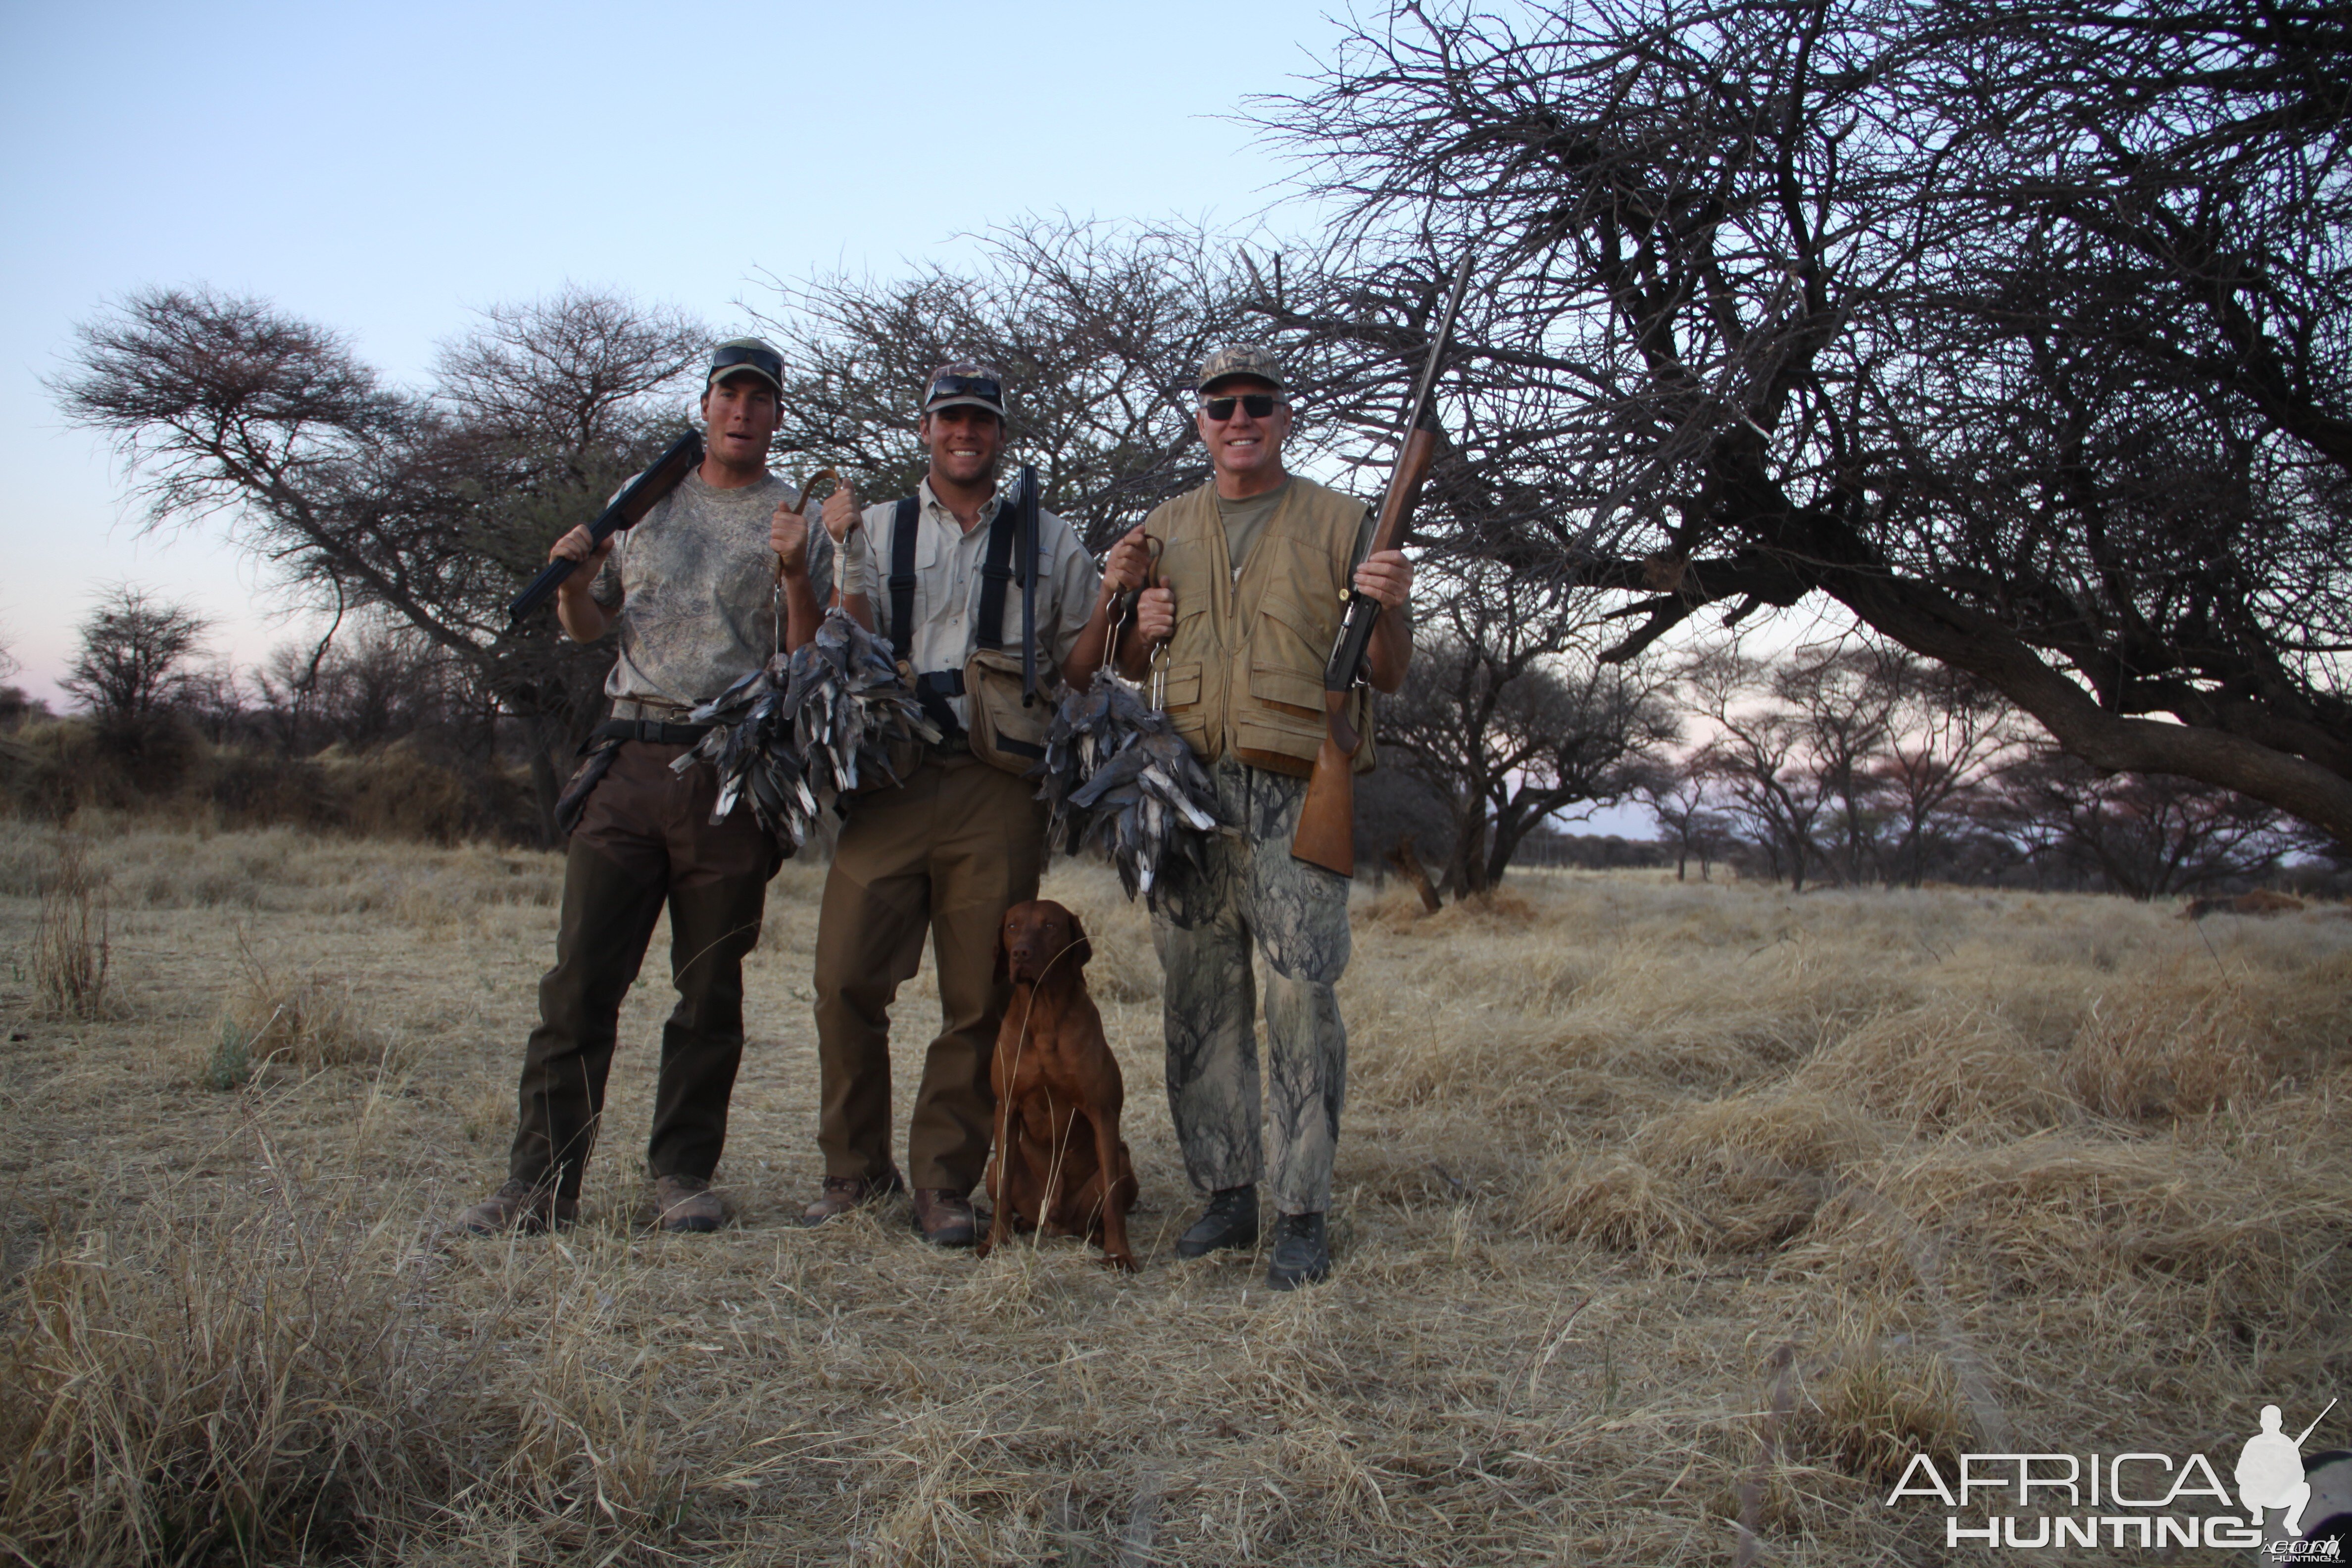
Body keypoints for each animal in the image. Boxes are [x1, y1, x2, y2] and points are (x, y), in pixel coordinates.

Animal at [974, 902, 1138, 1269]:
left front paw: (1120, 1253)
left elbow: (1112, 1199)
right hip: (997, 1170)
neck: (1043, 1013)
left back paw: (1100, 1235)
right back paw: (1023, 1223)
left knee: (1103, 1205)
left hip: (1124, 1162)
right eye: (1012, 926)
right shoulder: (1006, 1108)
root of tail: (1057, 1223)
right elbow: (1003, 1190)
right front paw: (995, 1243)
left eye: (1050, 926)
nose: (1020, 953)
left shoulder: (1102, 1113)